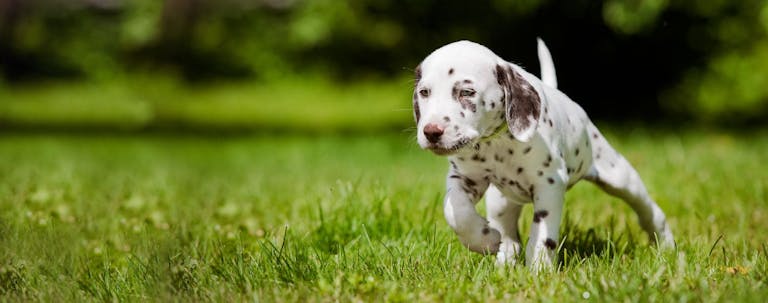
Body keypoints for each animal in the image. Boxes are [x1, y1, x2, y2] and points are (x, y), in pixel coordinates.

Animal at [414, 38, 672, 270]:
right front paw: (484, 240)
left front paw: (539, 270)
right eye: (424, 92)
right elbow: (456, 212)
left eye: (466, 92)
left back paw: (665, 242)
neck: (495, 145)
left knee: (647, 209)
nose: (431, 131)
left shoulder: (549, 185)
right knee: (509, 235)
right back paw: (503, 259)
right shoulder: (464, 178)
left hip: (618, 176)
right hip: (500, 201)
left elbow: (541, 236)